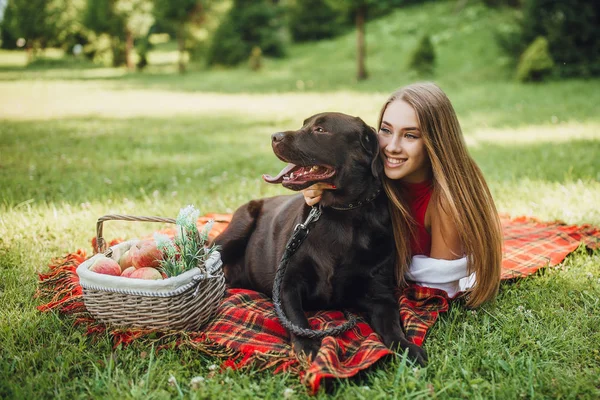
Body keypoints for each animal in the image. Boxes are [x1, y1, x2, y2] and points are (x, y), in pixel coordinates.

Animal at [213, 111, 424, 362]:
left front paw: (407, 346)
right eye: (304, 124)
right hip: (236, 229)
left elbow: (392, 324)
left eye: (320, 130)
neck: (343, 213)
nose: (275, 136)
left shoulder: (380, 293)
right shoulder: (287, 285)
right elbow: (296, 318)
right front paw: (308, 346)